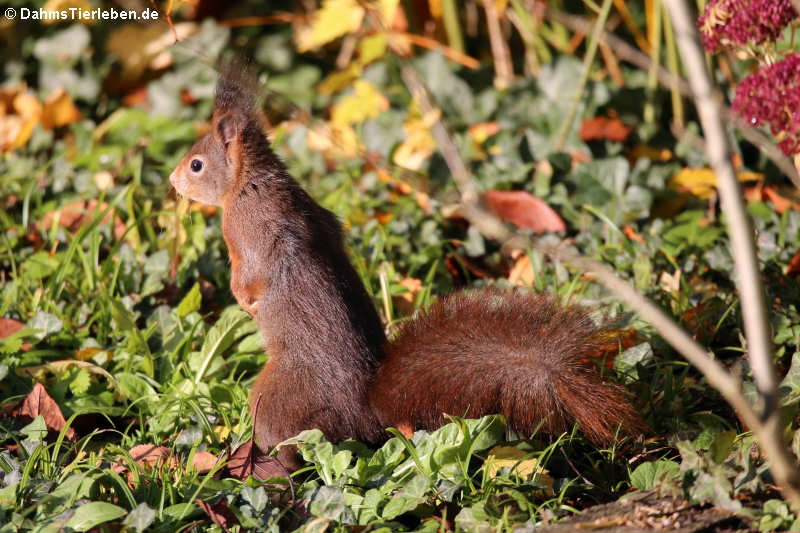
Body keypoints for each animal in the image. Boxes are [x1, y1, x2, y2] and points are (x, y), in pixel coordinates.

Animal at [169, 64, 644, 468]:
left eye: (196, 164)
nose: (172, 181)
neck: (248, 183)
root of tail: (363, 412)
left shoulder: (252, 232)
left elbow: (252, 274)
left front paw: (243, 299)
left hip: (275, 400)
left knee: (290, 450)